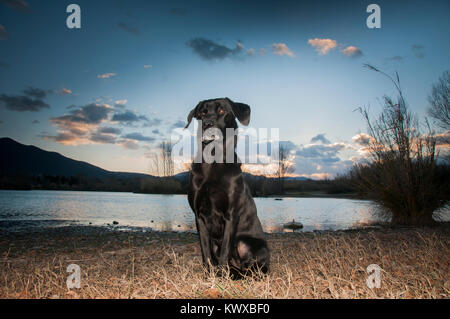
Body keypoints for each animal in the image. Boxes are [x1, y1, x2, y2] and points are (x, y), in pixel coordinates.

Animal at [185, 97, 268, 278]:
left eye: (222, 111)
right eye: (202, 113)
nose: (207, 124)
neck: (213, 160)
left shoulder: (231, 215)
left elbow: (225, 252)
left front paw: (221, 277)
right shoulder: (199, 216)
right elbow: (206, 251)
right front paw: (209, 275)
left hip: (248, 243)